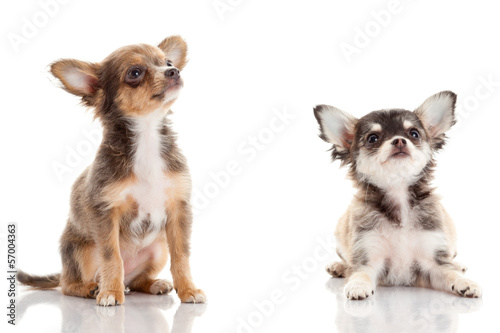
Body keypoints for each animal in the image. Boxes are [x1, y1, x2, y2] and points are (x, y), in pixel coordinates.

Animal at [17, 35, 205, 304]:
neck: (147, 137)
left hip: (159, 248)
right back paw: (94, 288)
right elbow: (112, 256)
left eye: (167, 62)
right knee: (67, 284)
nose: (174, 71)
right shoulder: (105, 213)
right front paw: (110, 294)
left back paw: (152, 284)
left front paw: (189, 289)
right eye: (134, 72)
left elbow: (182, 255)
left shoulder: (179, 209)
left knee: (136, 281)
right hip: (81, 250)